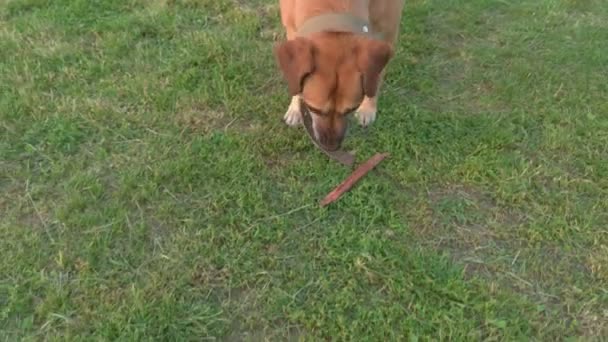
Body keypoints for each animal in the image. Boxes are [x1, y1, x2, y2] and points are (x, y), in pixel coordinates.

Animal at [276, 0, 404, 150]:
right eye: (313, 109)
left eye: (352, 108)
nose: (331, 147)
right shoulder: (292, 30)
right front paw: (295, 109)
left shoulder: (387, 35)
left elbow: (376, 79)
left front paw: (368, 108)